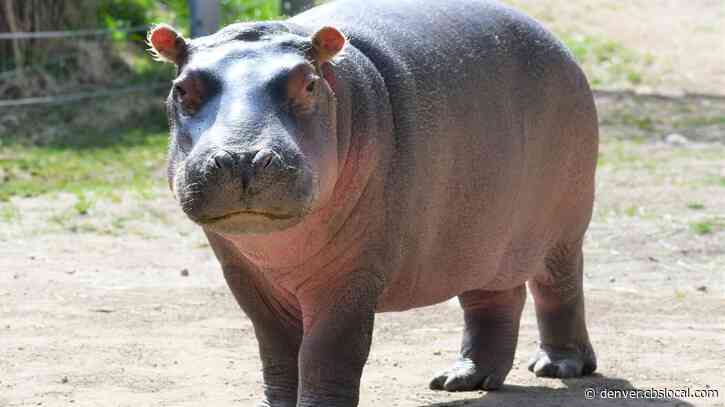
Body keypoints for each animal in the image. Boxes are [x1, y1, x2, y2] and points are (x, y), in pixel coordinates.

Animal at [148, 0, 598, 405]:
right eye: (181, 88)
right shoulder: (244, 274)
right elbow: (277, 352)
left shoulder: (351, 274)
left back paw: (556, 366)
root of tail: (555, 42)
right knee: (494, 298)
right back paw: (462, 378)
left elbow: (327, 353)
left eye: (309, 83)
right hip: (480, 237)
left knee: (559, 286)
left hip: (564, 226)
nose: (241, 158)